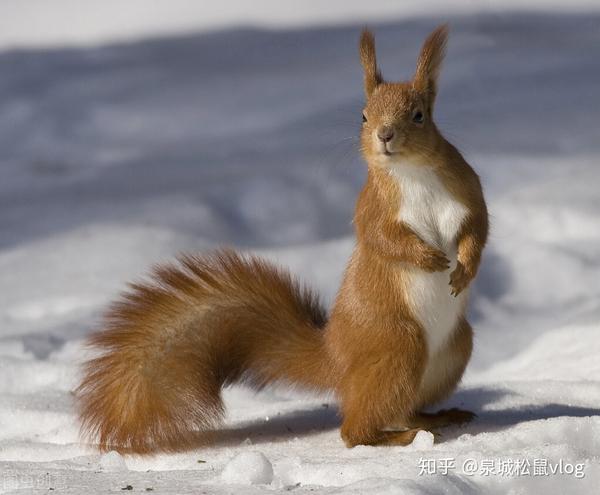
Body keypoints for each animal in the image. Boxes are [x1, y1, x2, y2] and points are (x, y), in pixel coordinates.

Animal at [76, 25, 488, 456]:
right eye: (363, 115)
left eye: (420, 115)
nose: (384, 135)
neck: (412, 173)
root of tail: (336, 358)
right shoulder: (372, 209)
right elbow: (382, 239)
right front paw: (427, 258)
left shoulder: (468, 194)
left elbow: (477, 230)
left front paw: (464, 269)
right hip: (398, 347)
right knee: (354, 431)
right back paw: (398, 437)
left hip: (454, 349)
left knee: (404, 409)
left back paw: (437, 417)